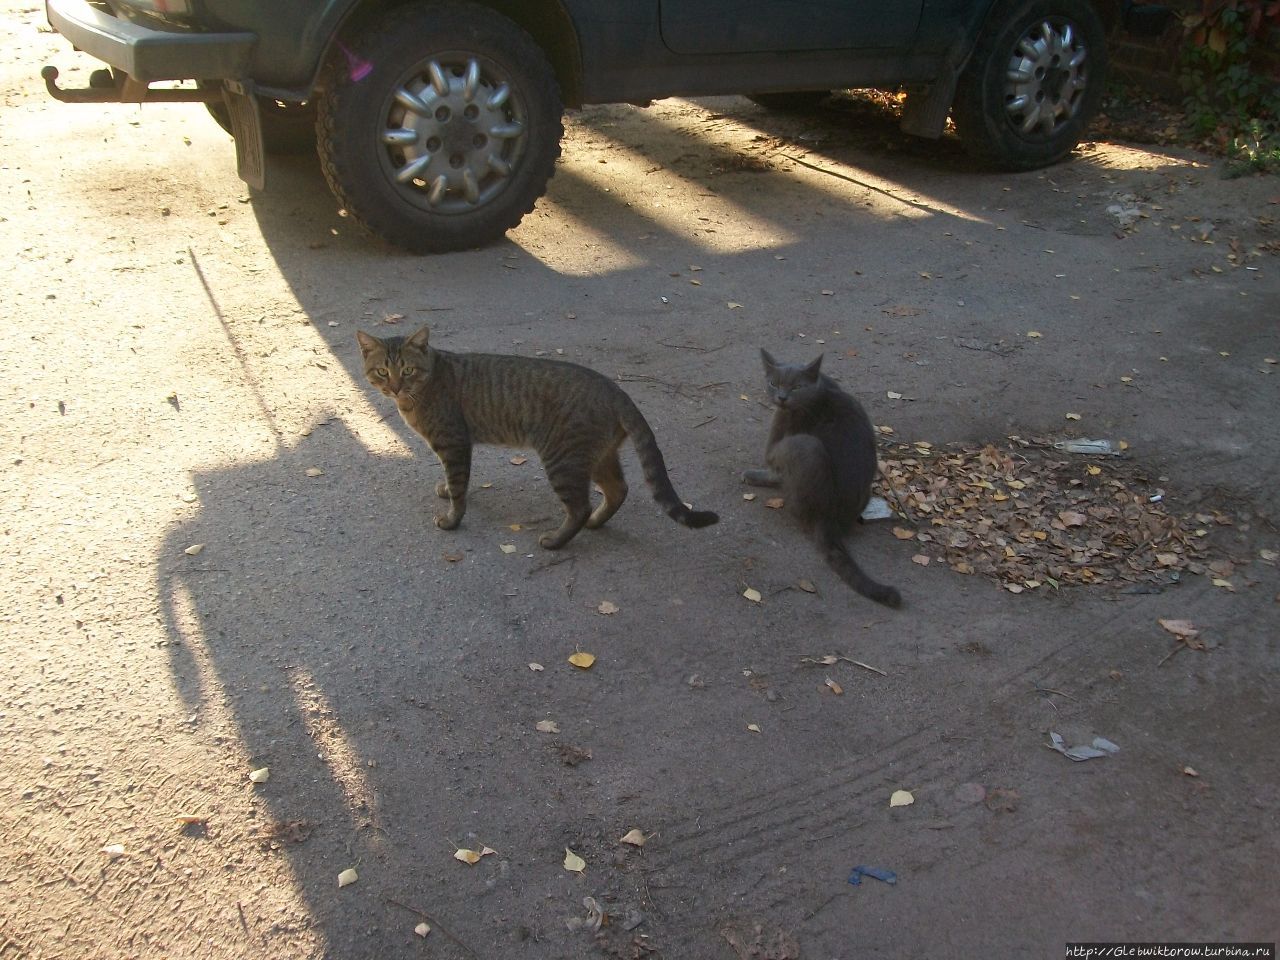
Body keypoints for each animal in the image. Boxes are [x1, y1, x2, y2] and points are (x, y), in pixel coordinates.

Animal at [742, 350, 901, 609]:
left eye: (796, 387)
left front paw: (754, 475)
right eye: (773, 383)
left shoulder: (780, 437)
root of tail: (829, 520)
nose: (782, 397)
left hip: (805, 445)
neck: (820, 389)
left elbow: (773, 465)